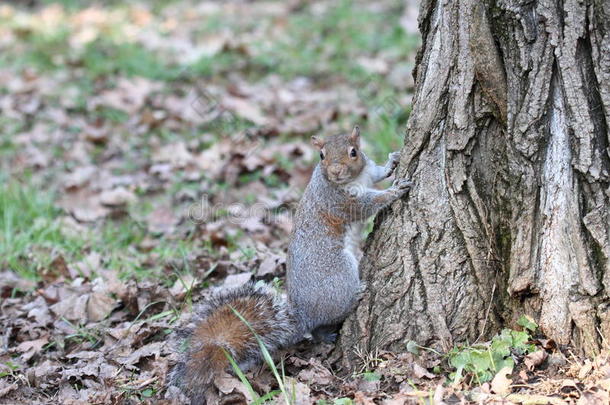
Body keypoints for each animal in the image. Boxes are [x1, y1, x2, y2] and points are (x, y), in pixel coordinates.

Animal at [167, 125, 414, 400]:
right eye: (321, 155)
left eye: (354, 152)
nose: (335, 172)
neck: (352, 180)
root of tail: (303, 315)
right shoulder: (340, 201)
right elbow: (369, 203)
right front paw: (394, 191)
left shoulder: (367, 172)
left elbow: (379, 171)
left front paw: (393, 160)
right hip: (338, 271)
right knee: (337, 309)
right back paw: (355, 297)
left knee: (318, 328)